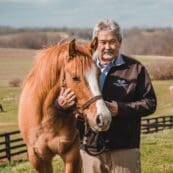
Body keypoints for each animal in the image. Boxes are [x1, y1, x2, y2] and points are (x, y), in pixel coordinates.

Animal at [18, 38, 111, 172]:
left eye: (98, 74)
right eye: (75, 77)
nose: (104, 118)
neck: (47, 118)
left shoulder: (71, 153)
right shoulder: (38, 158)